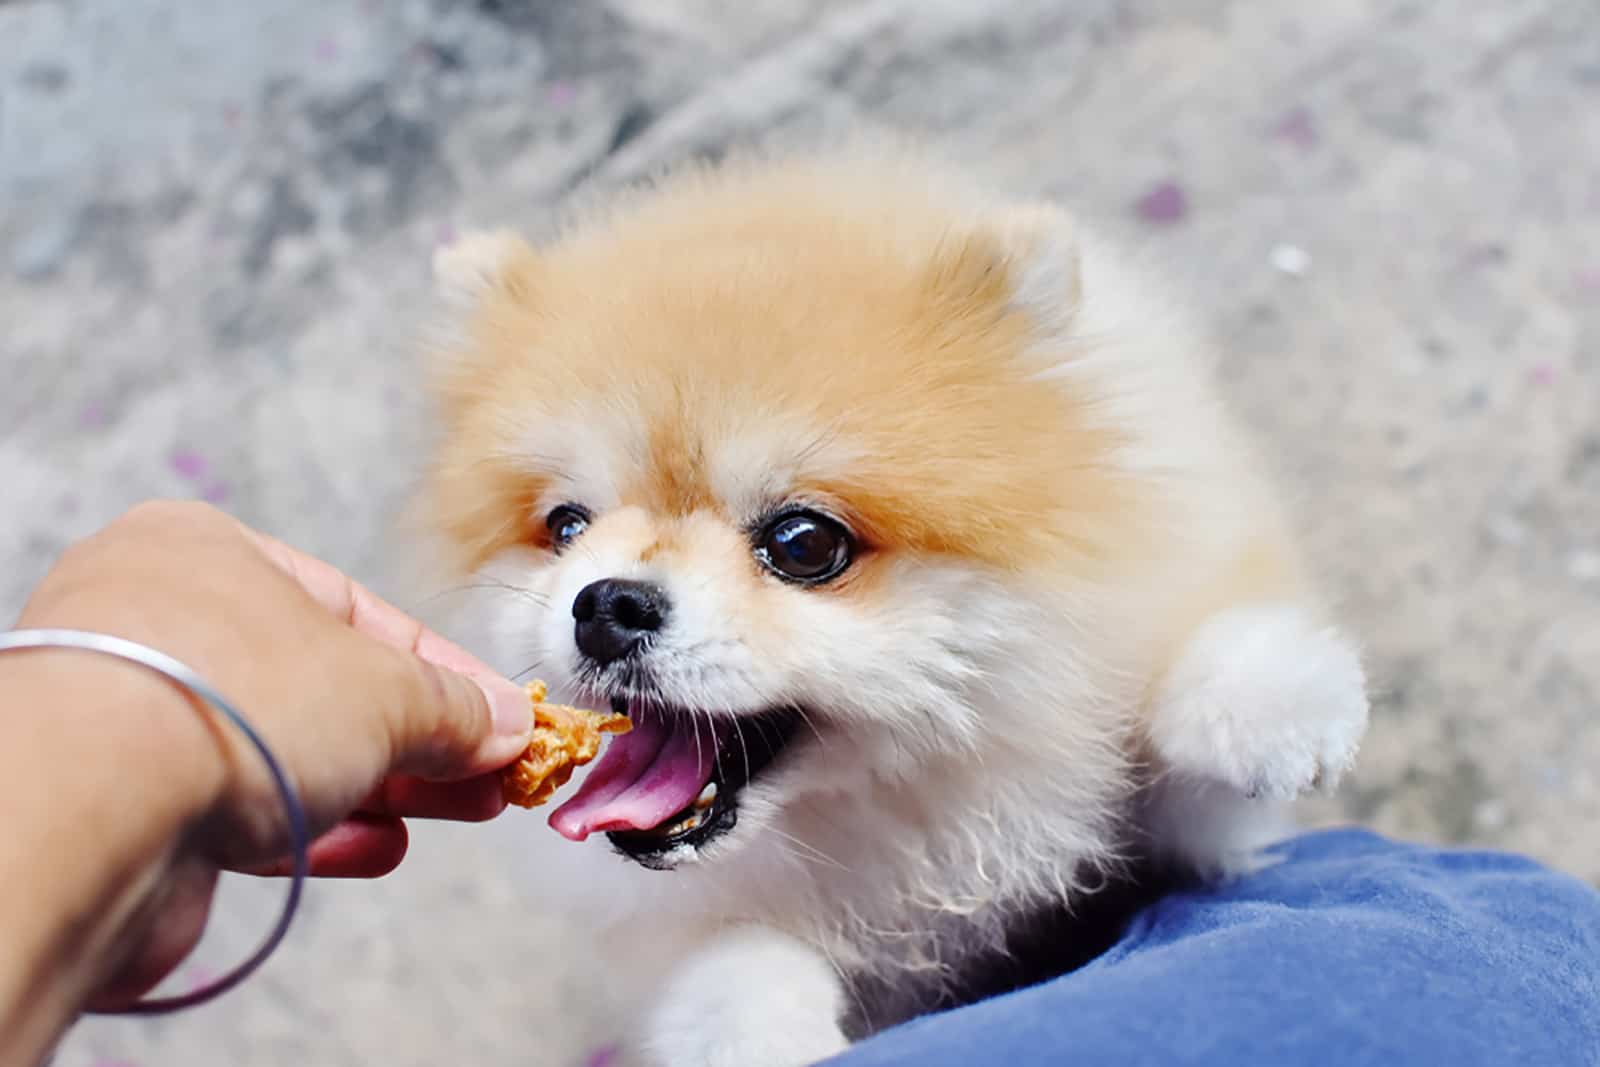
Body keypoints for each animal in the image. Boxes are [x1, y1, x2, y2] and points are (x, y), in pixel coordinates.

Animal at [412, 143, 1363, 1067]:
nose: (606, 603)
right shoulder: (671, 922)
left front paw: (1268, 704)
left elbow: (1196, 677)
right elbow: (723, 961)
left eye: (803, 543)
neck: (900, 815)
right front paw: (755, 1030)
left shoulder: (1182, 808)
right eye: (566, 527)